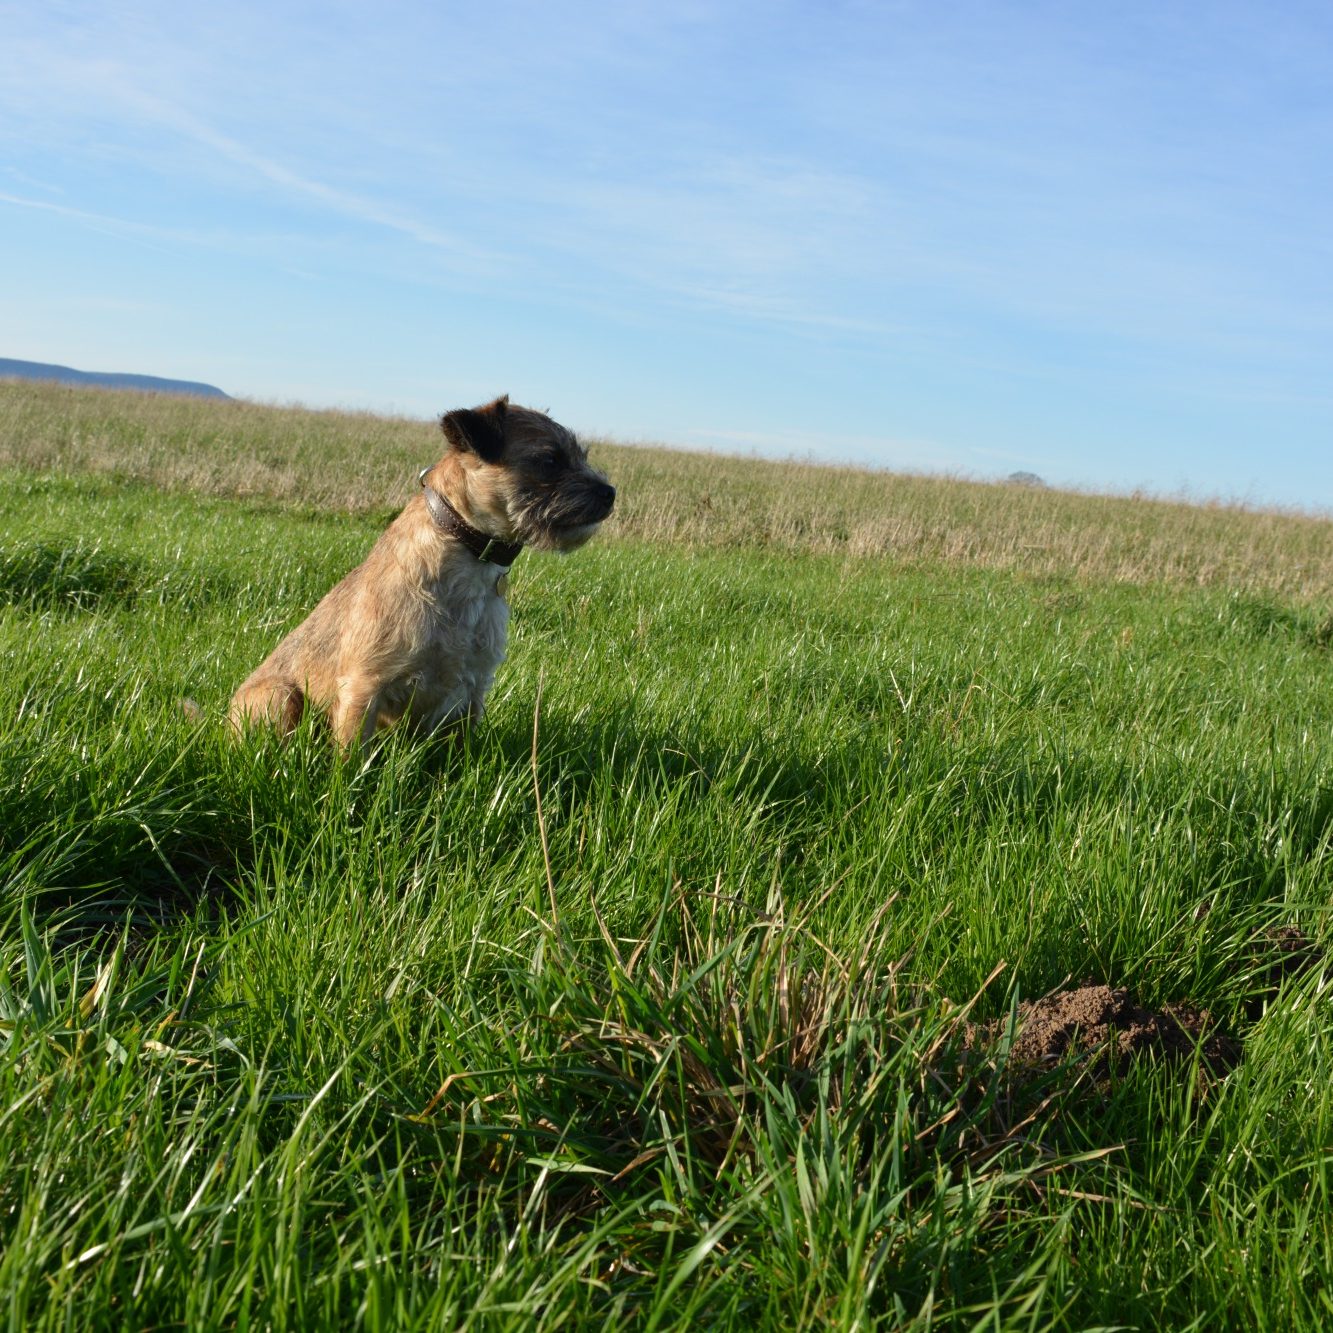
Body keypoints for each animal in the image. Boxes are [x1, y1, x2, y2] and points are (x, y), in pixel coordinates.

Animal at [228, 396, 615, 749]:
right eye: (549, 460)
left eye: (582, 455)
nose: (610, 492)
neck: (466, 555)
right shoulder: (363, 687)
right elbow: (351, 758)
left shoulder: (471, 691)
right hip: (280, 696)